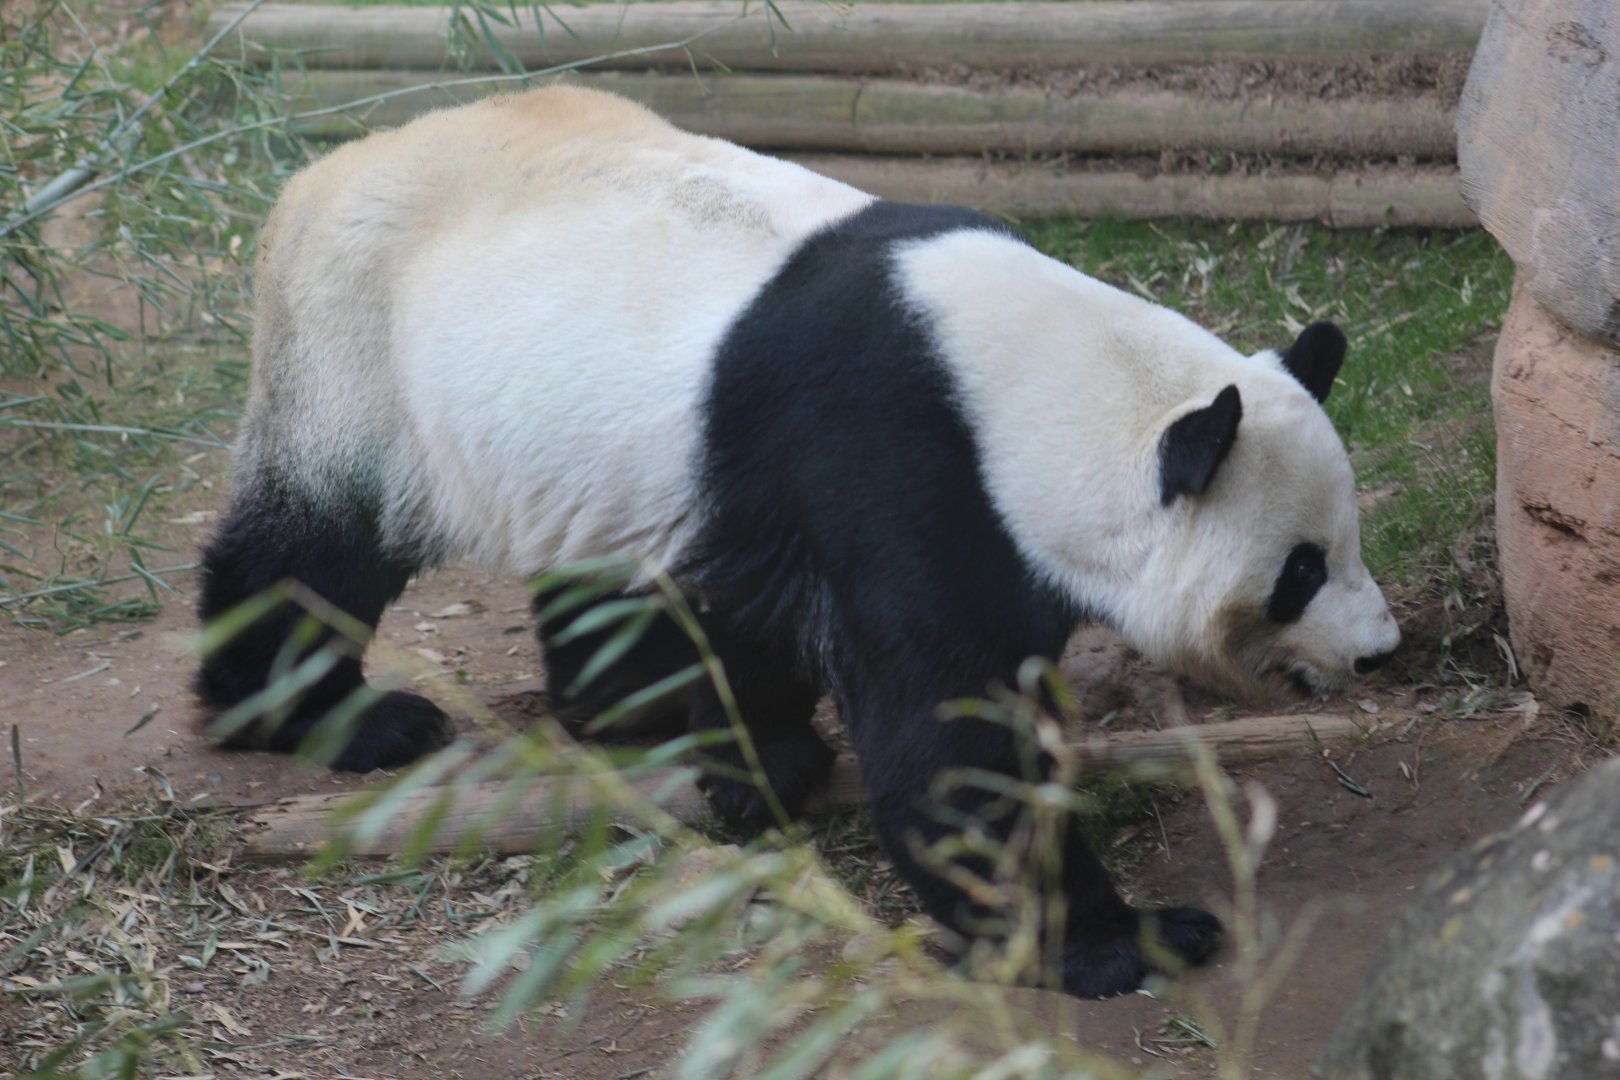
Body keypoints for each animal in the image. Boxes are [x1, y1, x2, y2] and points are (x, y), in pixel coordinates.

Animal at [197, 86, 1400, 998]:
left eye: (1348, 542)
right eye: (1299, 571)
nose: (1379, 650)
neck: (1038, 386)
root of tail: (318, 171)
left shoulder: (783, 488)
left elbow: (762, 619)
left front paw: (753, 763)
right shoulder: (898, 466)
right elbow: (946, 748)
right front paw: (1125, 943)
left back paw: (624, 704)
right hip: (354, 353)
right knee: (310, 546)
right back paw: (326, 715)